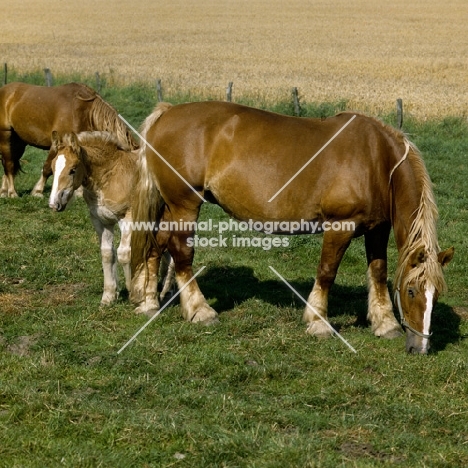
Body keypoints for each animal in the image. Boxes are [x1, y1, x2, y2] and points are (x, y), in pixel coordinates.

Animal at [0, 81, 138, 197]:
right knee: (9, 164)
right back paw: (12, 193)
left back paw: (3, 191)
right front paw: (37, 191)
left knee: (8, 163)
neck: (84, 111)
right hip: (6, 137)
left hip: (18, 142)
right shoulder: (57, 143)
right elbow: (47, 168)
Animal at [49, 132, 174, 308]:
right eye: (52, 168)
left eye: (73, 170)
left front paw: (134, 292)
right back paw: (164, 290)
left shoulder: (128, 218)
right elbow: (107, 253)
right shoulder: (101, 221)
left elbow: (124, 253)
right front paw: (108, 296)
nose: (54, 204)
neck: (110, 176)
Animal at [130, 100, 452, 352]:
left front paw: (385, 323)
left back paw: (149, 303)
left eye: (436, 295)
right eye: (411, 291)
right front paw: (318, 322)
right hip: (185, 204)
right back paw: (200, 310)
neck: (379, 161)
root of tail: (167, 112)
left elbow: (378, 272)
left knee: (155, 245)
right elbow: (327, 272)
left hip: (171, 207)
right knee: (180, 252)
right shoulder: (341, 227)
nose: (420, 347)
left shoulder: (377, 228)